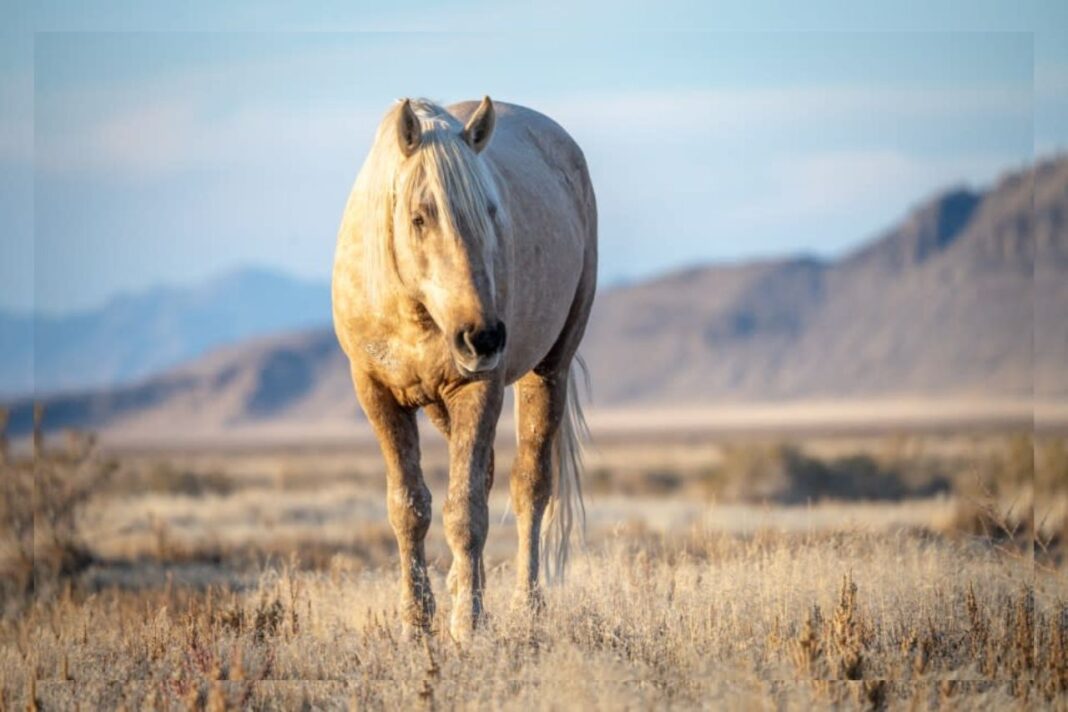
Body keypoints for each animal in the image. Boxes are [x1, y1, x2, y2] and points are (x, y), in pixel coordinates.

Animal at [331, 96, 598, 640]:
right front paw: (417, 624)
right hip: (441, 405)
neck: (411, 312)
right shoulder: (377, 395)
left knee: (529, 487)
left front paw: (467, 625)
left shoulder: (478, 387)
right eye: (418, 218)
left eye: (491, 212)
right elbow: (409, 508)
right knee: (487, 474)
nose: (485, 337)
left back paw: (524, 606)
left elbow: (465, 511)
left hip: (549, 370)